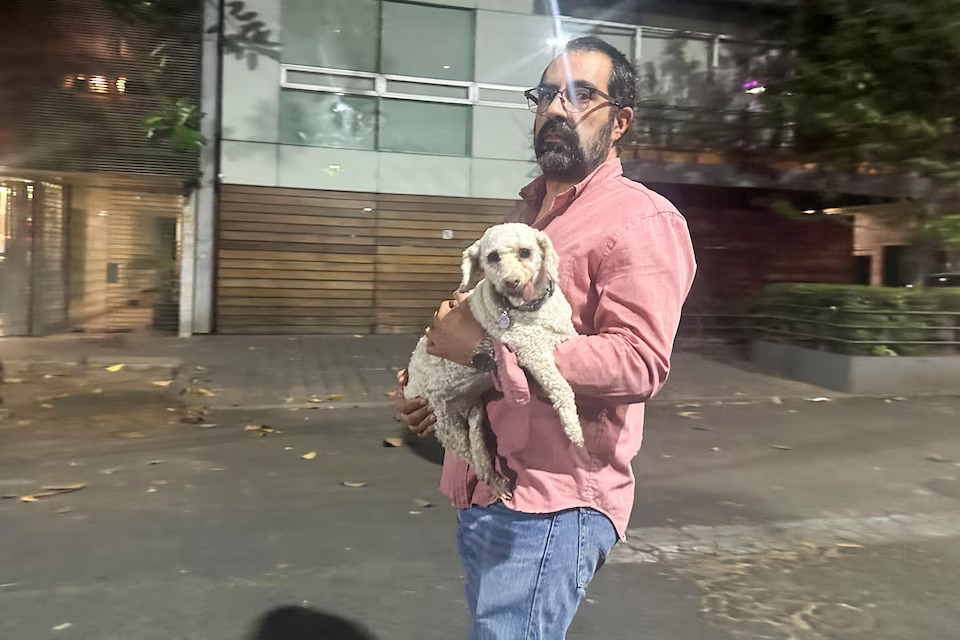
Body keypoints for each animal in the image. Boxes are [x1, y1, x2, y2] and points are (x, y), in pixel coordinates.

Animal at [404, 222, 580, 498]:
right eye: (492, 257)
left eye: (526, 252)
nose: (511, 282)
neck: (531, 309)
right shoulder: (530, 348)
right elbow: (560, 385)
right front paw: (573, 427)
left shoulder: (566, 332)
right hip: (445, 422)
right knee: (468, 455)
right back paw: (497, 483)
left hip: (475, 414)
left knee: (478, 449)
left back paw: (493, 476)